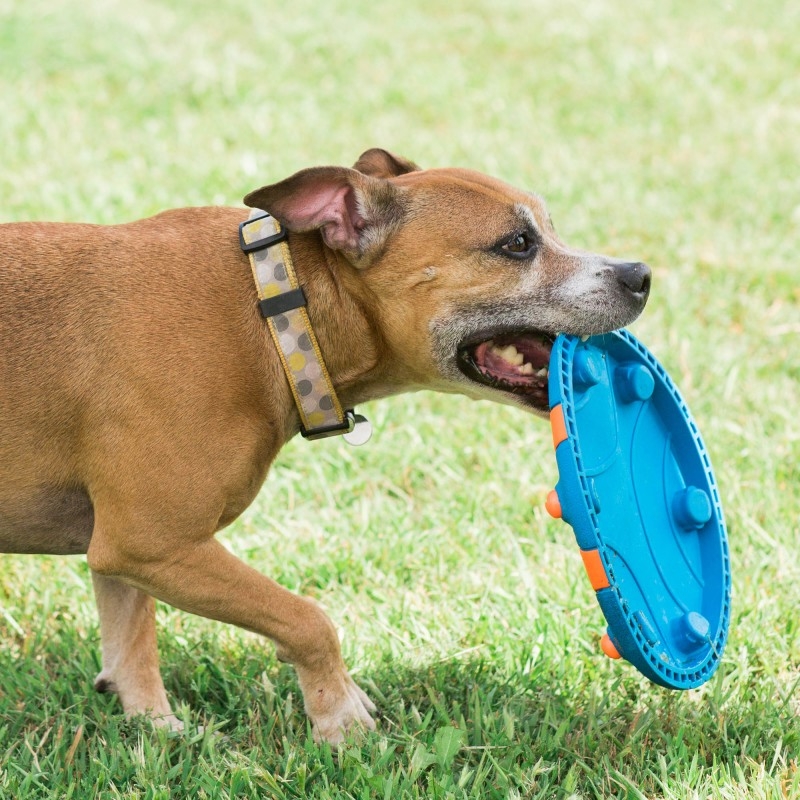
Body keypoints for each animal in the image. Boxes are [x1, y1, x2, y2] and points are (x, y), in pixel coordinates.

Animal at [0, 152, 648, 744]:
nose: (639, 273)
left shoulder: (122, 553)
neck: (278, 310)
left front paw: (157, 731)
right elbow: (308, 619)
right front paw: (339, 714)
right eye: (517, 244)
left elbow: (132, 645)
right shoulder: (152, 544)